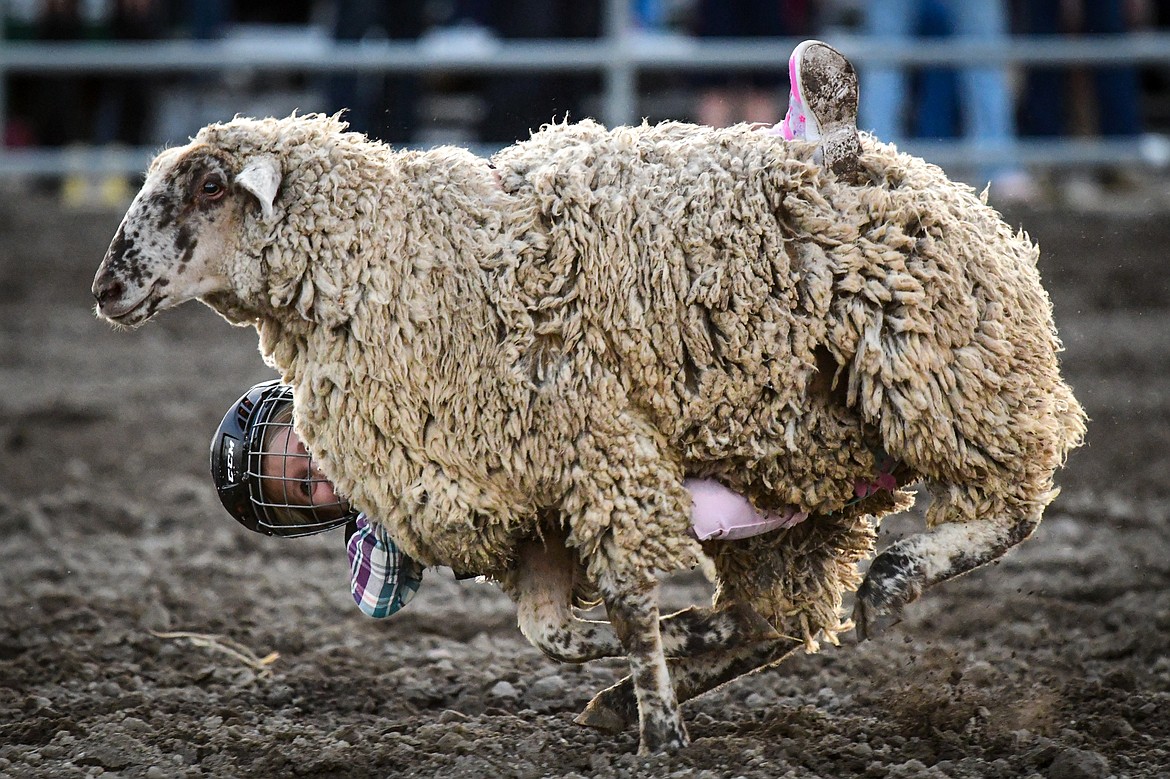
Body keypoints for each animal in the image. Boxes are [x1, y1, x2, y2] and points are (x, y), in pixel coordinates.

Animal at [91, 112, 1085, 748]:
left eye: (209, 183)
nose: (105, 287)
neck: (411, 261)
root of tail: (956, 194)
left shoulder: (601, 451)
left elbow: (630, 607)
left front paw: (662, 731)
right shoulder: (538, 498)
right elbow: (554, 634)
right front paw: (675, 659)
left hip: (939, 375)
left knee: (1014, 505)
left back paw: (898, 573)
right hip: (814, 464)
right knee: (782, 616)